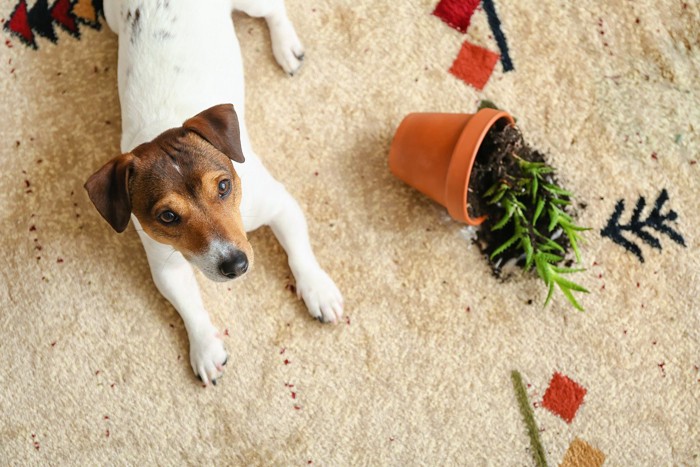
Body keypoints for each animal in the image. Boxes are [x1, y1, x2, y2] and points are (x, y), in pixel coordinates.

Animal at [85, 0, 344, 388]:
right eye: (167, 216)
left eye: (223, 186)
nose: (236, 265)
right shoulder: (166, 265)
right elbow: (189, 307)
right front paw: (205, 347)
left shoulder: (279, 205)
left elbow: (299, 255)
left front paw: (317, 290)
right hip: (114, 20)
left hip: (251, 5)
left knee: (274, 11)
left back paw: (286, 47)